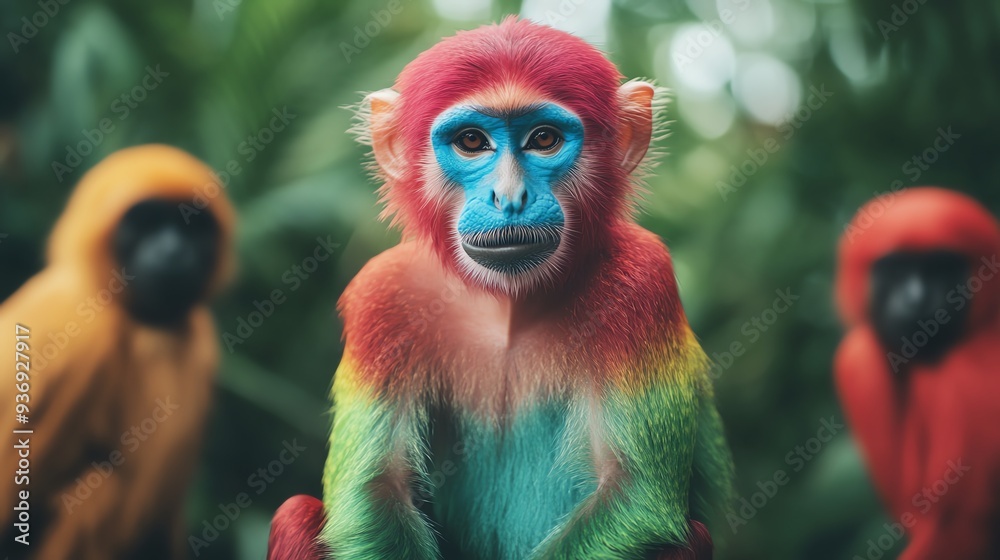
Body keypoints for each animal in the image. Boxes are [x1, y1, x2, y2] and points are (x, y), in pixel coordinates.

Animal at [268, 18, 733, 560]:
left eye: (544, 138)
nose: (509, 196)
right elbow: (373, 492)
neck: (505, 307)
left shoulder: (641, 280)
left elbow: (636, 497)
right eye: (471, 141)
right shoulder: (386, 293)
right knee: (296, 512)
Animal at [835, 187, 1000, 559]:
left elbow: (960, 520)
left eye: (940, 270)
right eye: (896, 270)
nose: (917, 299)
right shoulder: (854, 368)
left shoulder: (965, 376)